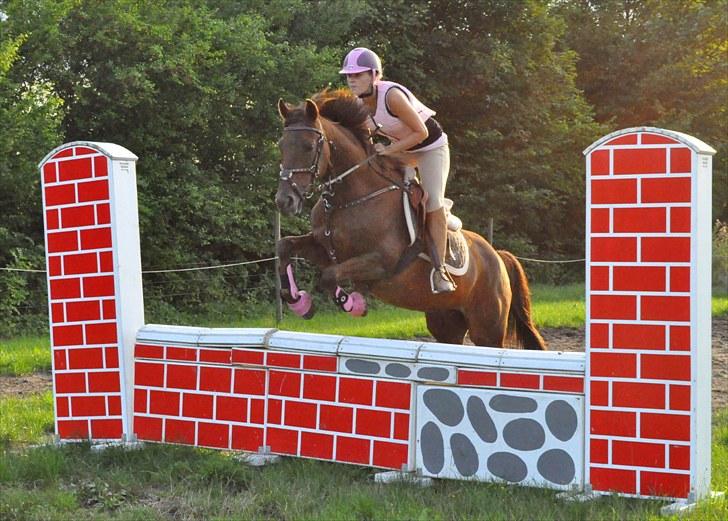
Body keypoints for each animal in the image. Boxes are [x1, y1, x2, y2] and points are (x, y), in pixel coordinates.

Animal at [274, 89, 544, 350]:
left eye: (309, 147)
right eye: (281, 146)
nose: (284, 200)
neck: (349, 199)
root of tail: (497, 255)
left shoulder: (383, 262)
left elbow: (330, 276)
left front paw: (354, 304)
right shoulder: (325, 249)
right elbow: (286, 246)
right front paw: (299, 302)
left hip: (487, 328)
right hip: (445, 321)